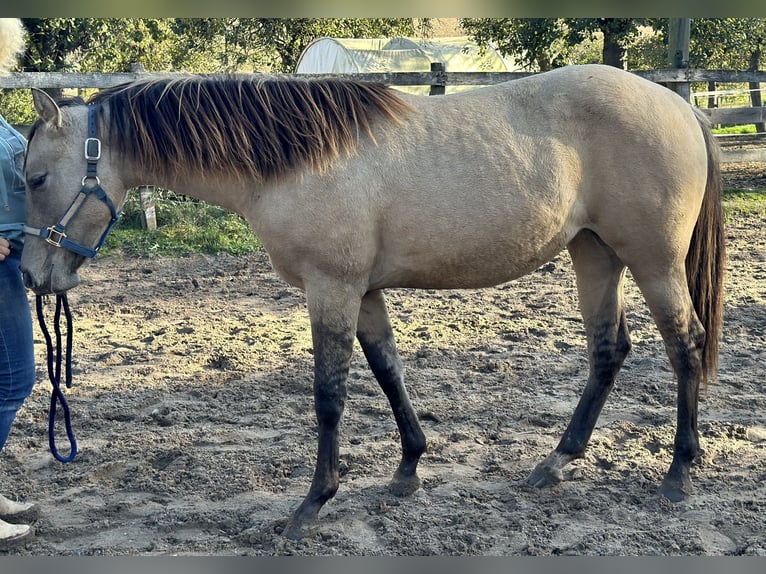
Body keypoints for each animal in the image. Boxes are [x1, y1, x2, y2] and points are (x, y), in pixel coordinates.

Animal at [19, 65, 728, 544]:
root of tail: (679, 105)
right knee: (609, 349)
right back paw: (555, 463)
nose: (30, 275)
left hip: (654, 261)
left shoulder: (330, 287)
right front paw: (408, 467)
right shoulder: (362, 292)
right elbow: (388, 371)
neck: (293, 161)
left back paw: (679, 472)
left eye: (34, 177)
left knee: (684, 345)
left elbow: (329, 394)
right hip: (594, 254)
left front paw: (312, 504)